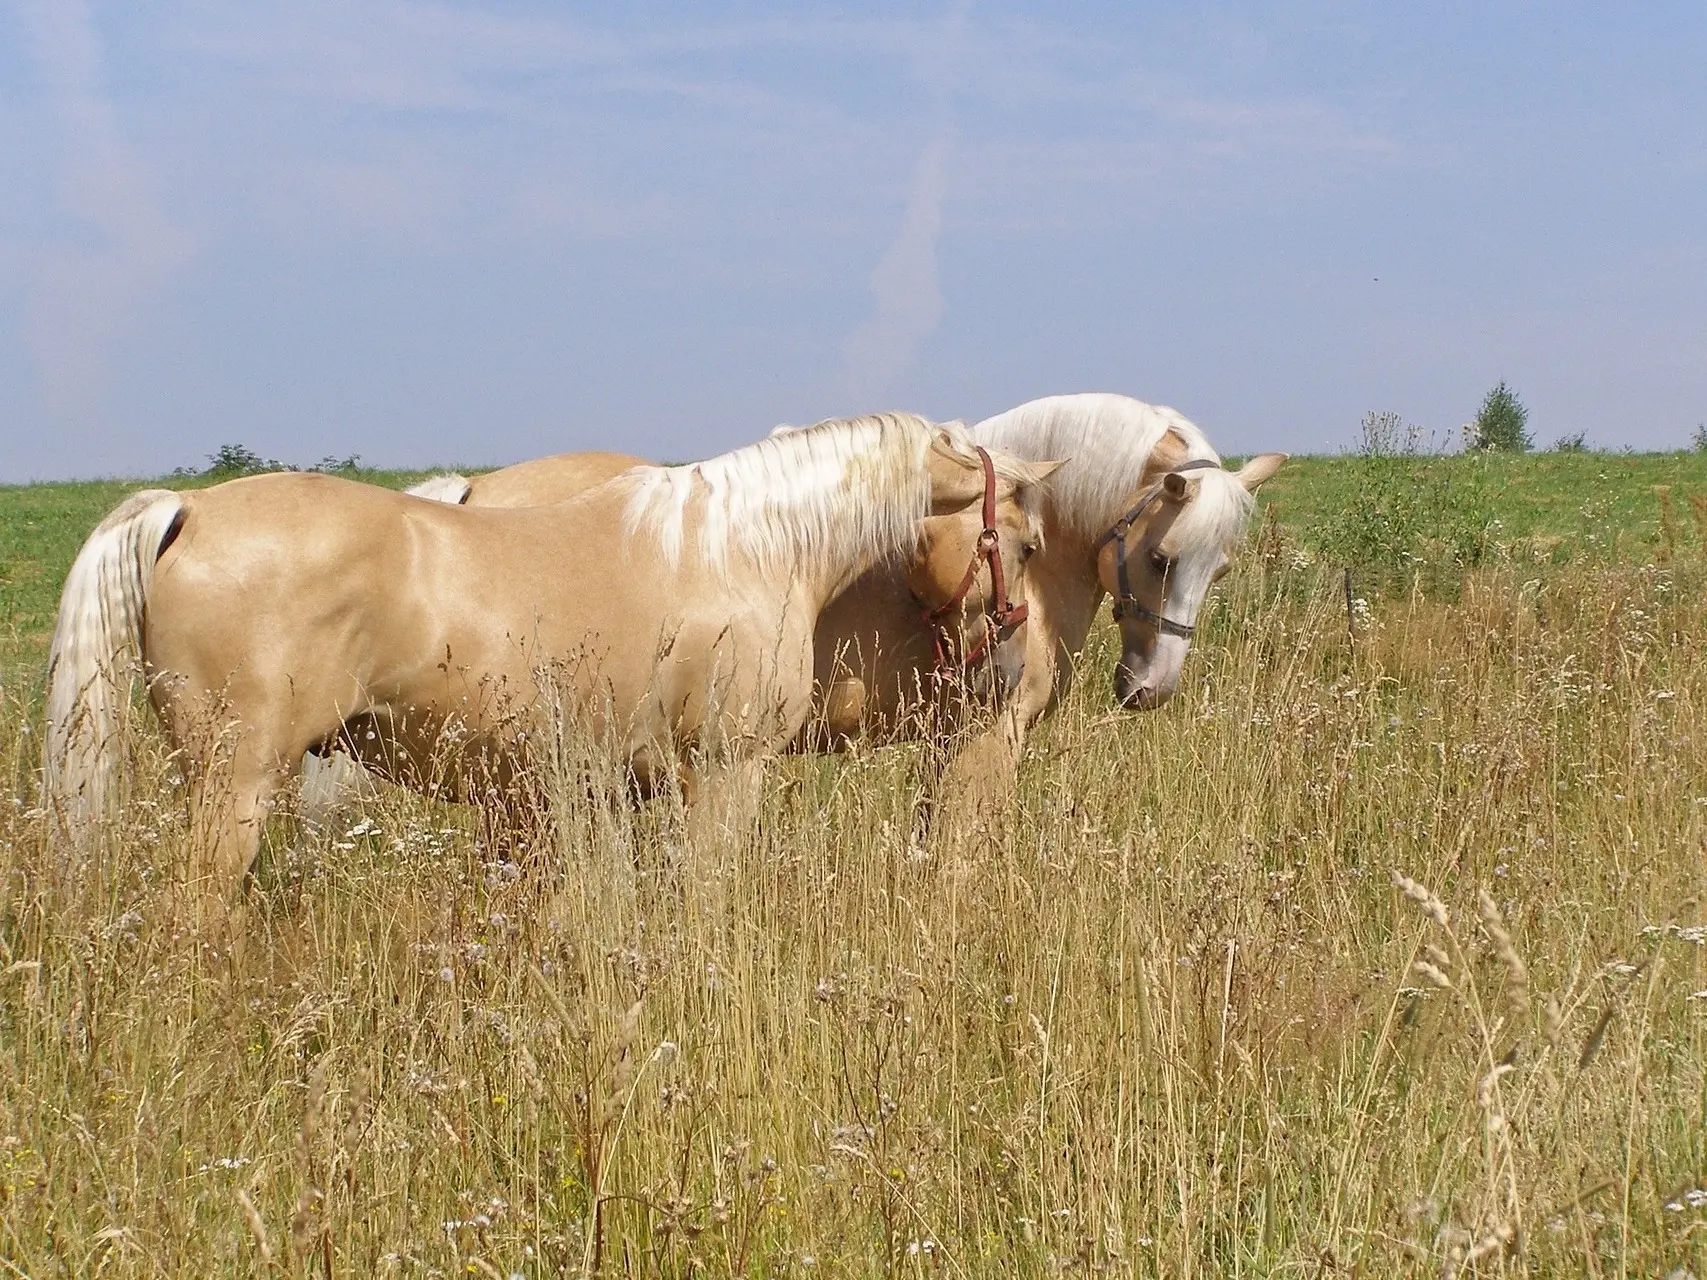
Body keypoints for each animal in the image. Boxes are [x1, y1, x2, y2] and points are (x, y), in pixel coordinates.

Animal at [43, 416, 1051, 914]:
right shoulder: (725, 773)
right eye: (1025, 544)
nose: (1013, 675)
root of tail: (187, 511)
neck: (744, 546)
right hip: (236, 788)